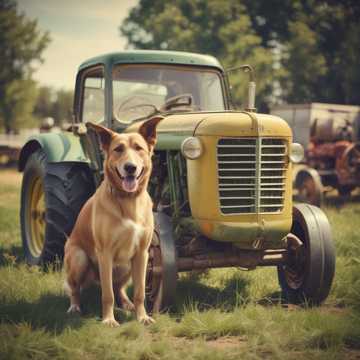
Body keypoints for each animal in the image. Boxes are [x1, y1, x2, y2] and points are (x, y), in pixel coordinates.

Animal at [63, 117, 162, 326]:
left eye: (139, 148)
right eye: (118, 149)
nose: (130, 167)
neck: (128, 200)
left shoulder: (142, 254)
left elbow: (140, 292)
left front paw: (142, 317)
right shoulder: (105, 253)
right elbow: (107, 294)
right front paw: (108, 320)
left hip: (127, 266)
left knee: (119, 288)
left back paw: (127, 304)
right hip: (79, 258)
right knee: (76, 288)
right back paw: (75, 307)